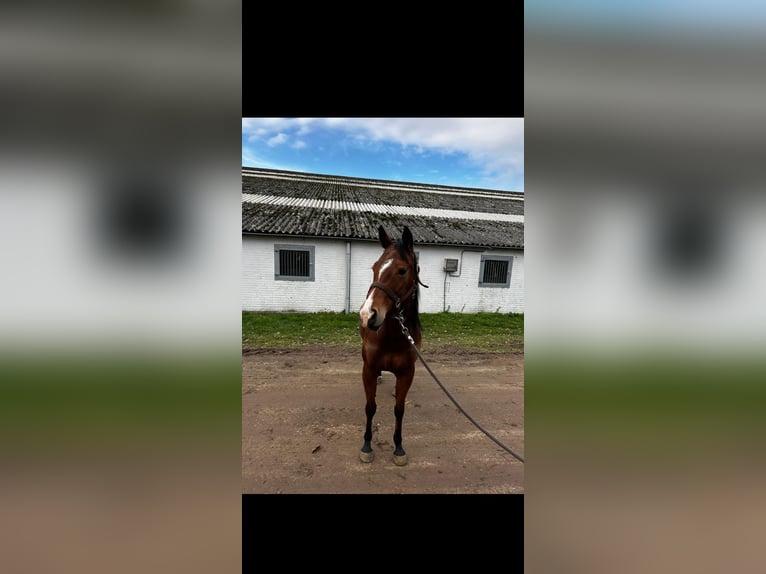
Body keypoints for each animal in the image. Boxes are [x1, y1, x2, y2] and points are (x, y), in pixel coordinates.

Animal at [358, 225, 428, 466]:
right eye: (374, 267)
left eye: (402, 271)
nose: (367, 315)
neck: (392, 337)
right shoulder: (368, 369)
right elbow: (370, 407)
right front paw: (367, 446)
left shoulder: (407, 372)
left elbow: (399, 409)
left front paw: (399, 447)